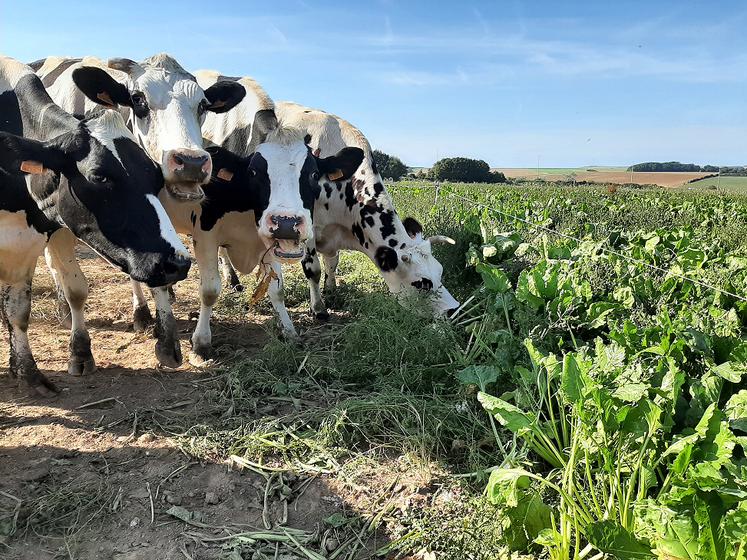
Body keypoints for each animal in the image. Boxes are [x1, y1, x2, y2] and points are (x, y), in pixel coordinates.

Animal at [0, 55, 190, 396]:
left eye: (155, 174)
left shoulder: (28, 239)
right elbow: (72, 290)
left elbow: (18, 309)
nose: (178, 262)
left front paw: (26, 372)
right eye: (99, 176)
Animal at [200, 91, 460, 330]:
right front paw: (318, 308)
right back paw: (233, 280)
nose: (454, 311)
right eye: (422, 283)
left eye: (440, 272)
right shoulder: (308, 229)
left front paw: (331, 290)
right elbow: (313, 269)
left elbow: (332, 263)